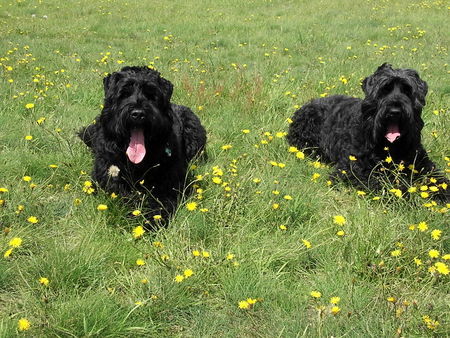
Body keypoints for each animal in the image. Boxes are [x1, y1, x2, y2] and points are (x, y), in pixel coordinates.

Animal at [80, 66, 207, 220]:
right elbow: (121, 193)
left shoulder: (169, 181)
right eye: (124, 93)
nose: (138, 114)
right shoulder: (107, 173)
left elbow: (160, 200)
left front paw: (152, 219)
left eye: (151, 95)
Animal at [286, 62, 448, 201]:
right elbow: (384, 182)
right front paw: (407, 195)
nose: (395, 111)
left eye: (407, 91)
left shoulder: (422, 164)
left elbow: (439, 179)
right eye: (384, 90)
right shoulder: (354, 169)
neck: (391, 148)